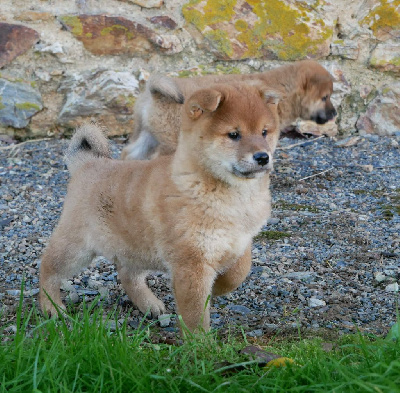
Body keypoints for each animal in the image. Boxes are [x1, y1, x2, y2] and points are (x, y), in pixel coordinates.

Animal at [39, 82, 280, 330]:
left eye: (264, 132)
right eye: (233, 134)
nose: (263, 157)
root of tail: (87, 163)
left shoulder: (240, 240)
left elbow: (240, 271)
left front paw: (219, 286)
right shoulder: (190, 261)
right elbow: (195, 315)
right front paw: (200, 339)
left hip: (135, 246)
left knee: (127, 274)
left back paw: (149, 304)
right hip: (77, 248)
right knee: (48, 269)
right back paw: (52, 307)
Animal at [122, 59, 338, 161]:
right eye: (325, 97)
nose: (334, 114)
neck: (283, 89)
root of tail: (154, 93)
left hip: (148, 137)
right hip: (171, 142)